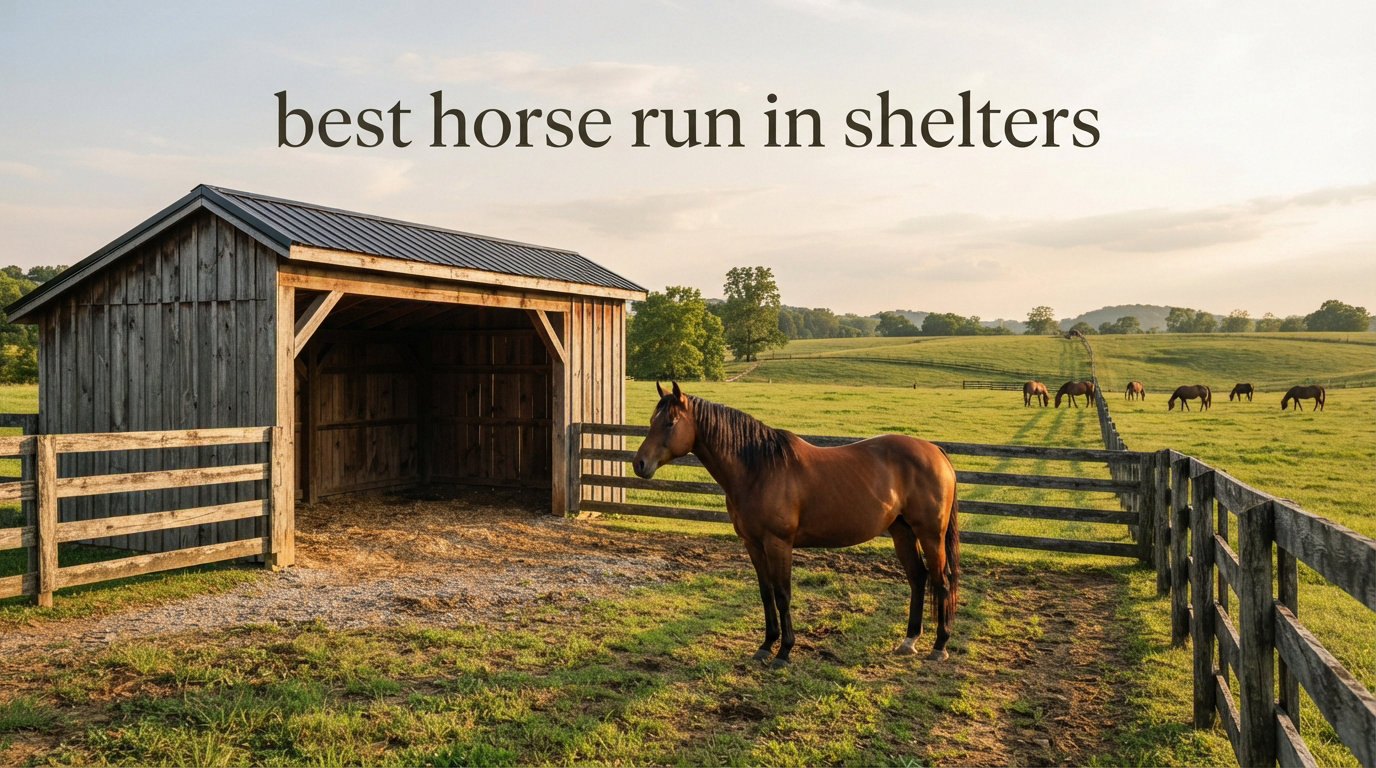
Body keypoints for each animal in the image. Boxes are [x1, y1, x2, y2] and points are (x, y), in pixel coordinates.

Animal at [632, 382, 960, 667]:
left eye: (670, 422)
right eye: (652, 420)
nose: (639, 464)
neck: (759, 469)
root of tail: (936, 452)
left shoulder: (779, 544)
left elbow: (782, 594)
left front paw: (784, 651)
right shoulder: (753, 544)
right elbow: (766, 592)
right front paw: (766, 645)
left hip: (930, 534)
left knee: (941, 580)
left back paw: (939, 646)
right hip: (902, 531)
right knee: (917, 578)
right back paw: (909, 641)